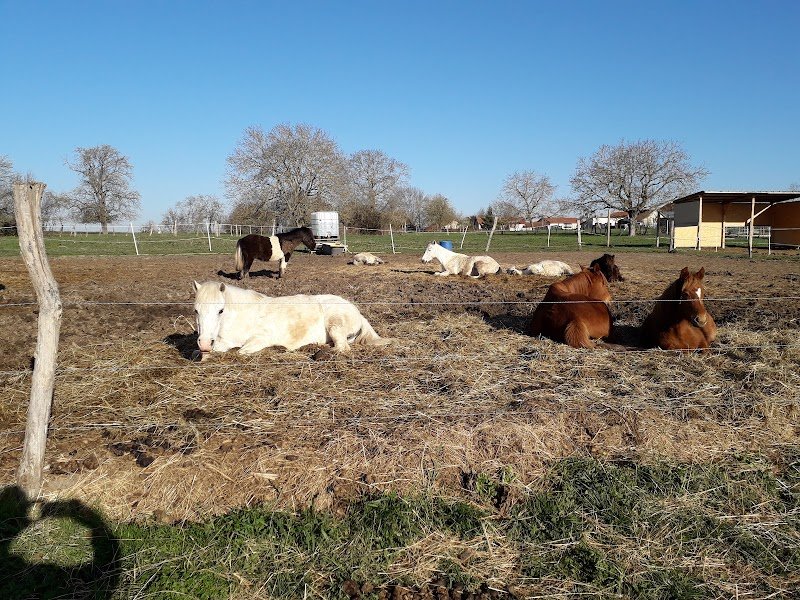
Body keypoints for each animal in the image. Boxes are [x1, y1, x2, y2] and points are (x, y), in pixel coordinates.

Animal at [192, 281, 391, 357]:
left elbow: (241, 351)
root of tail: (356, 311)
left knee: (342, 347)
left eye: (220, 310)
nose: (204, 343)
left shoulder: (262, 338)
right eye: (196, 311)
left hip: (335, 324)